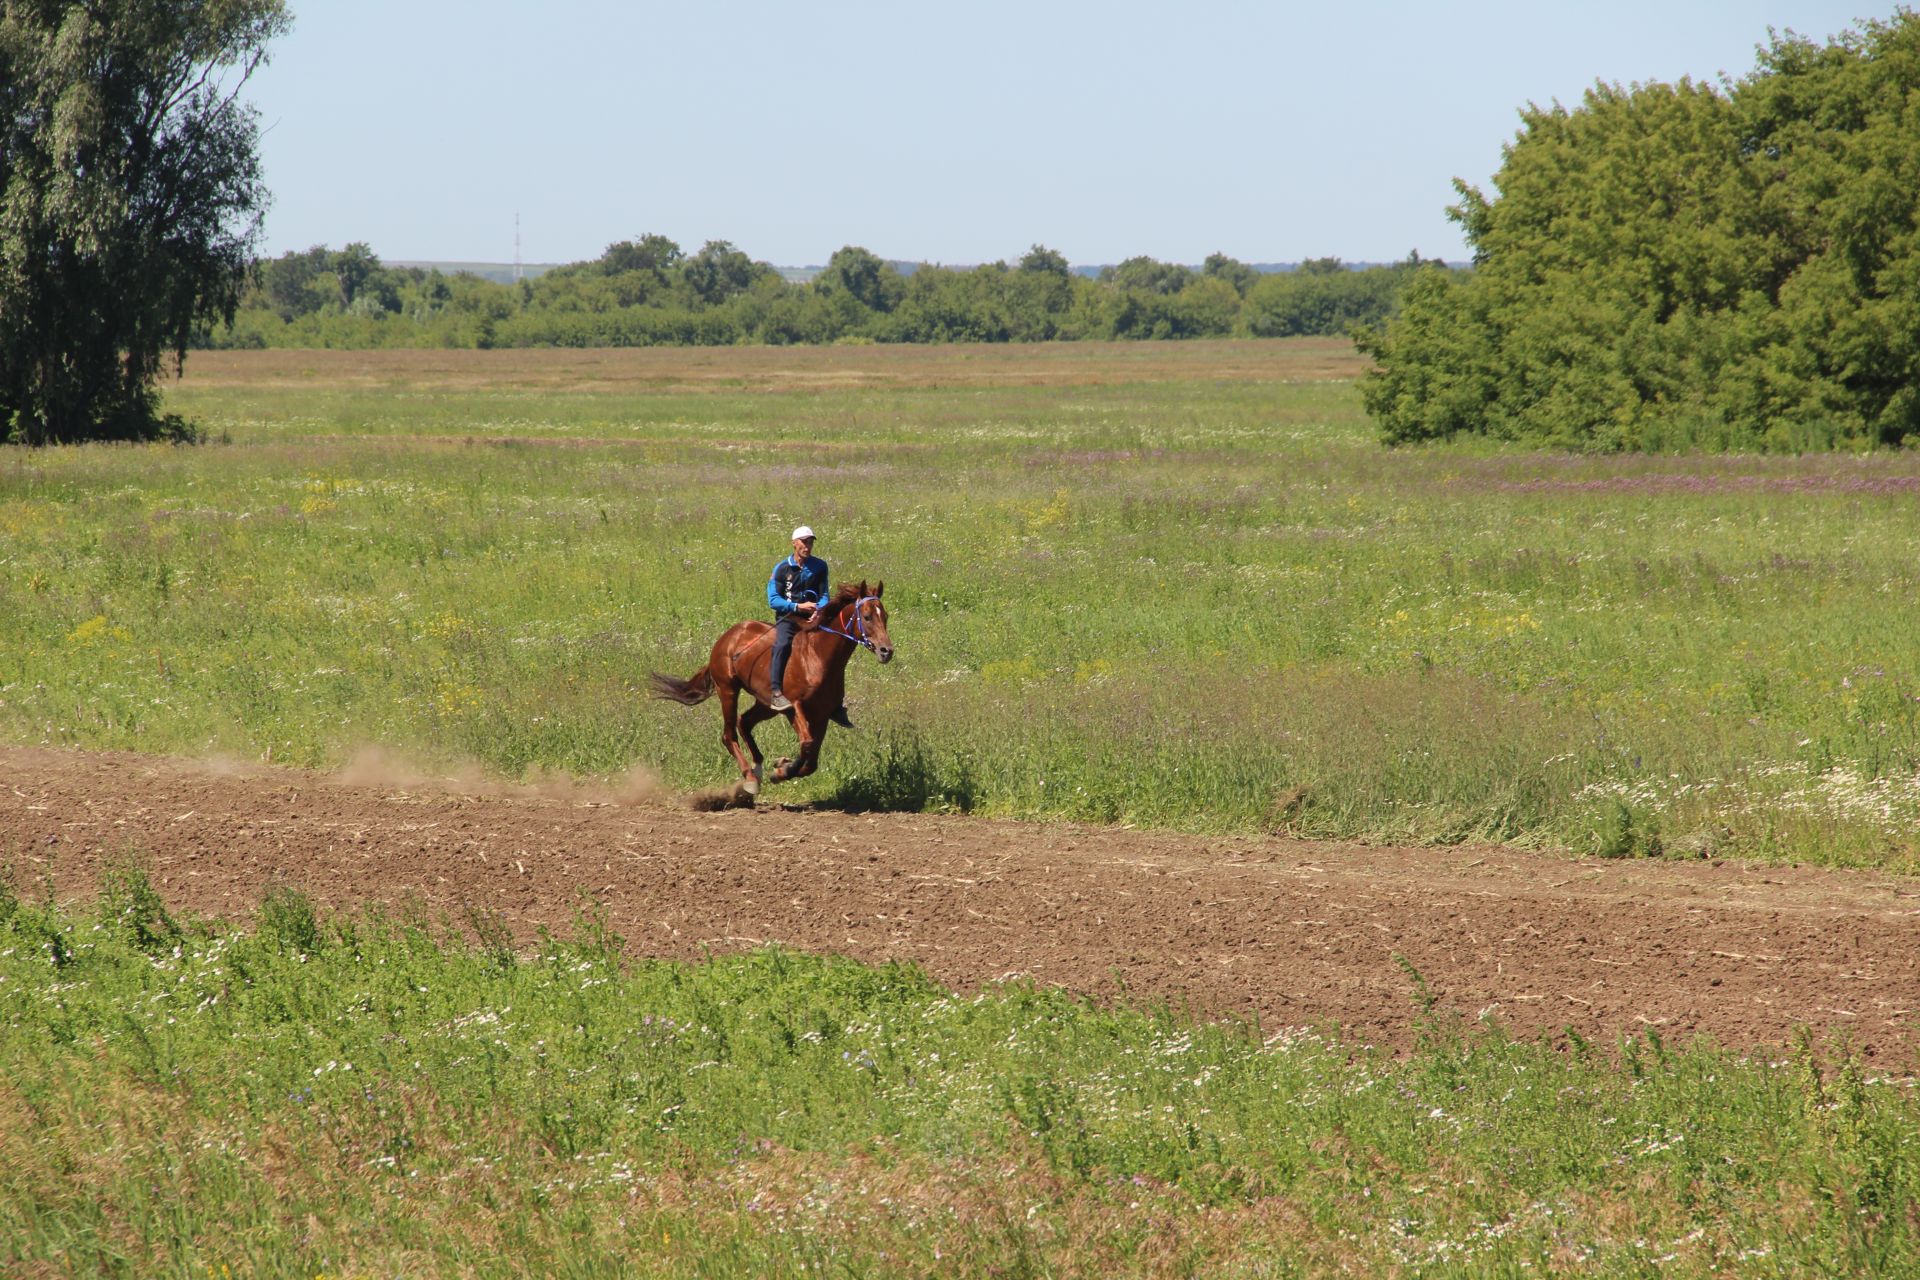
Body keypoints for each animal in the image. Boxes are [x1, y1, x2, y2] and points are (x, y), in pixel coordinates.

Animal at [652, 583, 890, 802]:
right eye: (867, 617)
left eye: (885, 616)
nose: (886, 651)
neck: (817, 657)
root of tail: (728, 635)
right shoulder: (794, 708)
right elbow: (807, 744)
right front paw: (782, 769)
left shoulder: (821, 715)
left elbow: (811, 760)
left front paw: (782, 767)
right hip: (728, 690)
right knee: (729, 734)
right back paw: (749, 779)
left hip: (766, 704)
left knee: (744, 722)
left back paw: (757, 768)